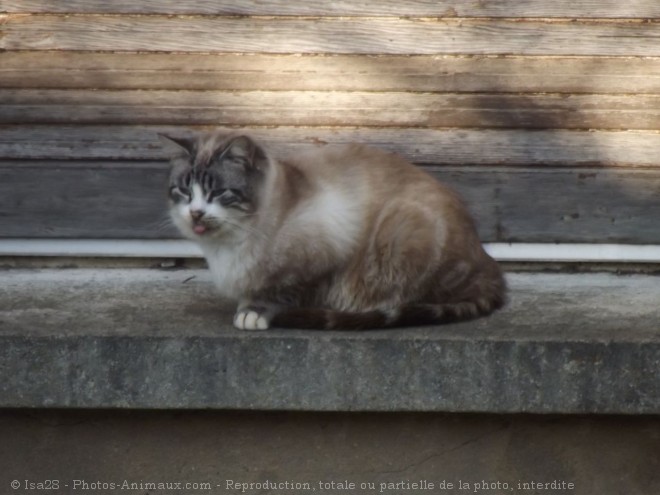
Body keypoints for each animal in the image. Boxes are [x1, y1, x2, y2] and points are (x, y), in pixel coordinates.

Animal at [162, 132, 508, 332]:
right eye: (185, 191)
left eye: (218, 193)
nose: (196, 213)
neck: (227, 246)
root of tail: (487, 261)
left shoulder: (319, 258)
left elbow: (280, 293)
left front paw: (253, 313)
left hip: (402, 229)